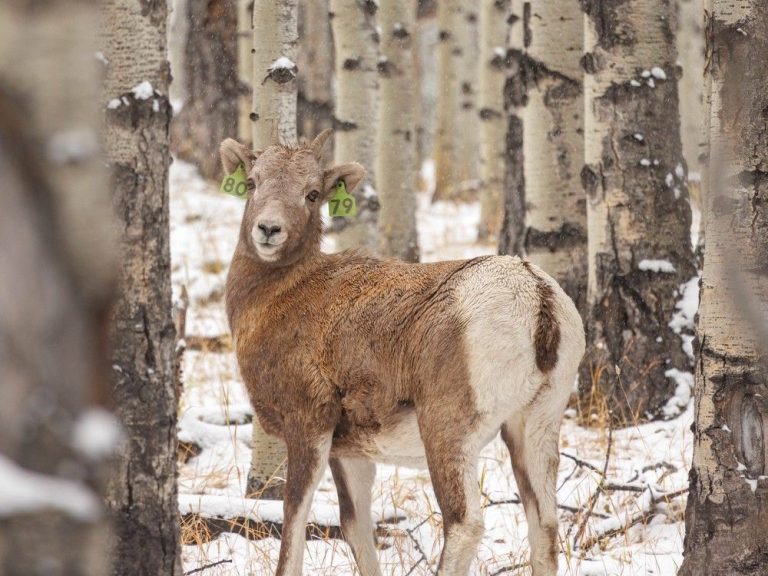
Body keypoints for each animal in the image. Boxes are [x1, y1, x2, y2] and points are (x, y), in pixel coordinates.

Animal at [219, 130, 584, 576]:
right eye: (253, 182)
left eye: (312, 193)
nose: (268, 229)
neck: (278, 296)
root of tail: (538, 299)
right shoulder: (350, 451)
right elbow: (356, 526)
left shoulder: (309, 426)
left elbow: (294, 519)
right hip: (535, 426)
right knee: (544, 524)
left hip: (447, 432)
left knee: (465, 523)